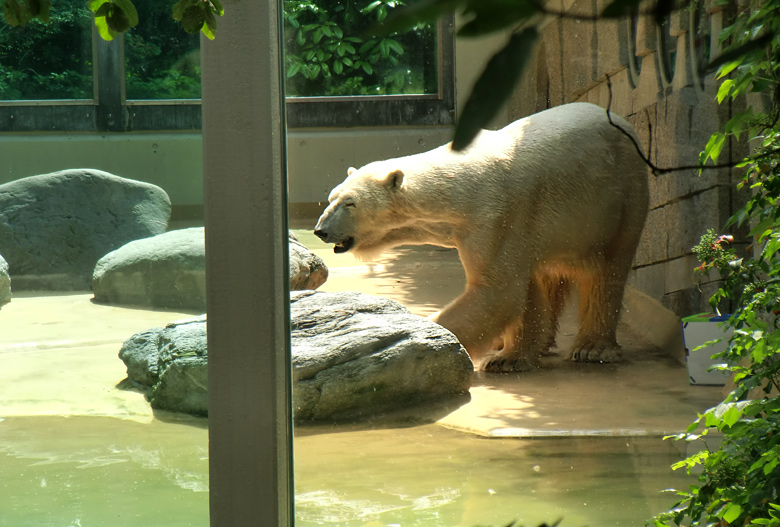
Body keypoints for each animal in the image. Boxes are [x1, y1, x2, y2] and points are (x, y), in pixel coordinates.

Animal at [314, 103, 648, 374]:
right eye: (331, 198)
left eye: (350, 203)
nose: (321, 230)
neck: (458, 192)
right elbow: (522, 291)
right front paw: (509, 355)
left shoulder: (498, 216)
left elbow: (497, 290)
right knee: (550, 272)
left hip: (620, 199)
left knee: (607, 271)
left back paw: (593, 348)